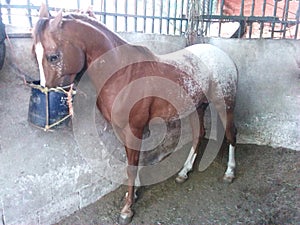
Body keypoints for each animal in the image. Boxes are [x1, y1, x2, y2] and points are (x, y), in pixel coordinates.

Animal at [32, 3, 238, 225]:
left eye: (53, 56)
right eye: (34, 54)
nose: (46, 94)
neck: (122, 74)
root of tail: (222, 55)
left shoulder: (134, 129)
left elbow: (132, 166)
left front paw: (127, 209)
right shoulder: (121, 129)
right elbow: (132, 163)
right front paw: (134, 194)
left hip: (225, 104)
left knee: (231, 134)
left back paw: (229, 173)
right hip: (197, 107)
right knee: (199, 134)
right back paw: (184, 173)